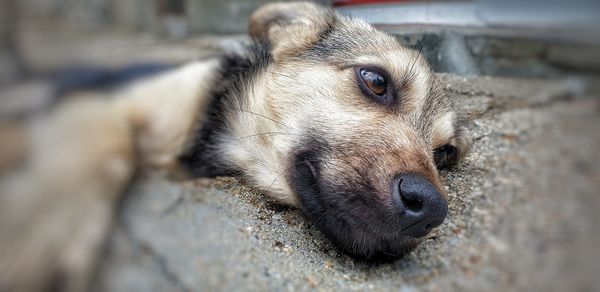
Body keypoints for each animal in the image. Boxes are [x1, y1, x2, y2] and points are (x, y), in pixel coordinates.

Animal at [0, 2, 472, 292]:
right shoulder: (118, 99)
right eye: (375, 81)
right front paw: (43, 224)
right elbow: (103, 147)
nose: (431, 209)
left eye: (444, 153)